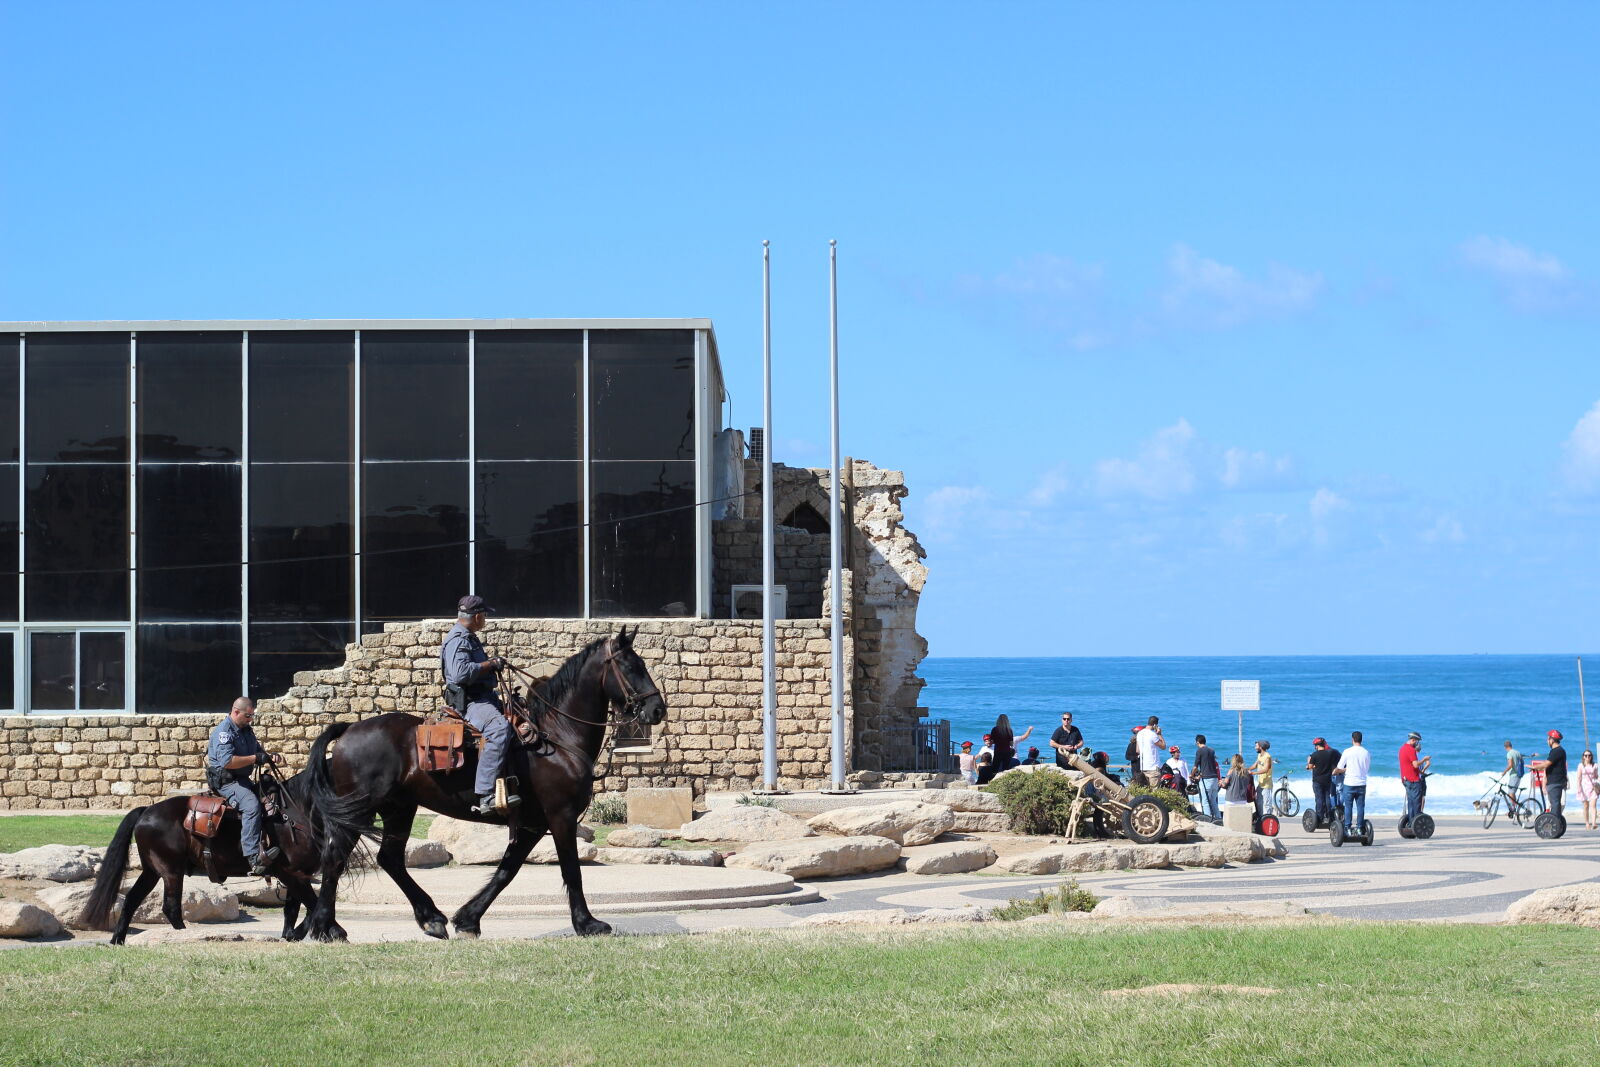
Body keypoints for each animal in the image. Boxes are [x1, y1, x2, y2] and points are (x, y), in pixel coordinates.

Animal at [80, 771, 340, 947]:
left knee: (132, 900)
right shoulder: (290, 873)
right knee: (170, 907)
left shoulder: (298, 874)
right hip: (171, 871)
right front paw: (336, 932)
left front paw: (294, 935)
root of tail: (146, 811)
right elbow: (313, 903)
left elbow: (299, 907)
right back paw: (185, 936)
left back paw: (118, 940)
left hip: (152, 871)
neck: (294, 813)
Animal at [302, 627, 665, 940]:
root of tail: (348, 730)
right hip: (361, 811)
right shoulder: (560, 816)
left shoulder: (532, 824)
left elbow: (507, 870)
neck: (557, 736)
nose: (657, 709)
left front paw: (468, 919)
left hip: (398, 809)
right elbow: (571, 870)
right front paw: (587, 923)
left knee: (389, 859)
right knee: (335, 858)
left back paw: (430, 919)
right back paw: (327, 928)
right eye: (631, 666)